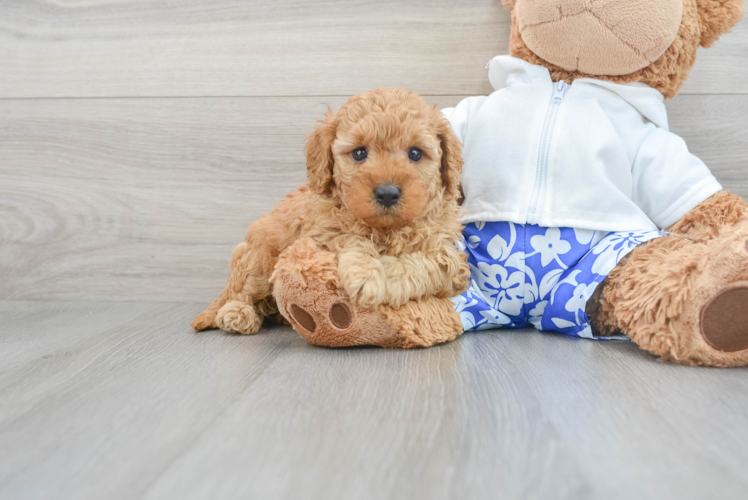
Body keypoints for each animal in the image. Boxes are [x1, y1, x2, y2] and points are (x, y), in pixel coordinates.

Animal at [191, 88, 468, 344]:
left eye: (415, 153)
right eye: (359, 153)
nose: (387, 193)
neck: (386, 229)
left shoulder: (448, 257)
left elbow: (420, 263)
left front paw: (380, 277)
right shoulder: (319, 233)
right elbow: (348, 236)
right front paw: (365, 273)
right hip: (259, 258)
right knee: (241, 292)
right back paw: (238, 314)